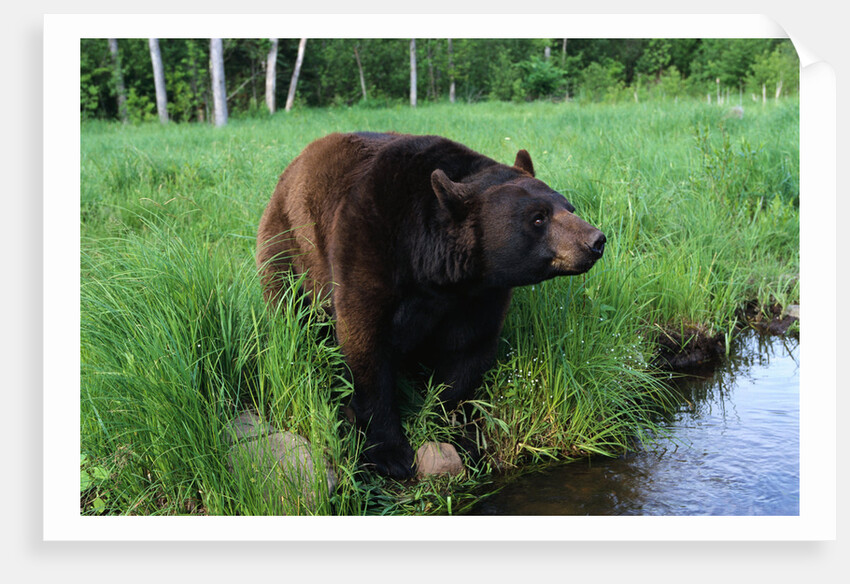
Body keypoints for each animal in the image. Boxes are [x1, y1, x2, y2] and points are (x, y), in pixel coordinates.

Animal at [257, 132, 605, 479]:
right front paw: (391, 453)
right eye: (538, 217)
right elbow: (366, 346)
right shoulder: (368, 245)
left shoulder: (479, 294)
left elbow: (467, 352)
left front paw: (456, 433)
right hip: (289, 249)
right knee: (291, 310)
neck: (435, 268)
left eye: (569, 207)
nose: (596, 240)